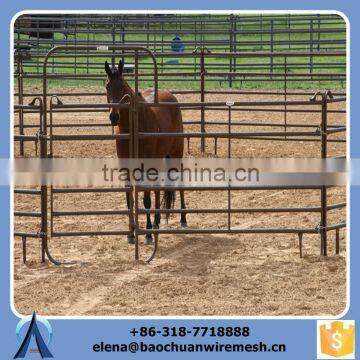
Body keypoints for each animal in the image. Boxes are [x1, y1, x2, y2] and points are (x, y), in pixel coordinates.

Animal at [105, 60, 187, 245]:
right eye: (107, 86)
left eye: (122, 86)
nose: (114, 117)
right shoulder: (126, 169)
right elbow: (130, 200)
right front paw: (130, 233)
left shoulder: (145, 168)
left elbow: (146, 199)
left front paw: (148, 234)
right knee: (157, 188)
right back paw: (157, 221)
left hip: (175, 155)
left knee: (179, 183)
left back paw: (183, 219)